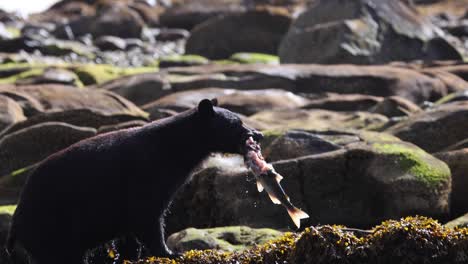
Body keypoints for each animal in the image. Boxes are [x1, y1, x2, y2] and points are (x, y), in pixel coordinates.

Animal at [6, 99, 264, 264]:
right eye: (236, 124)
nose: (258, 134)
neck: (176, 148)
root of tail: (16, 220)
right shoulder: (146, 174)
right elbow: (147, 216)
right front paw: (171, 253)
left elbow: (130, 230)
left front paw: (131, 255)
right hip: (51, 225)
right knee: (61, 255)